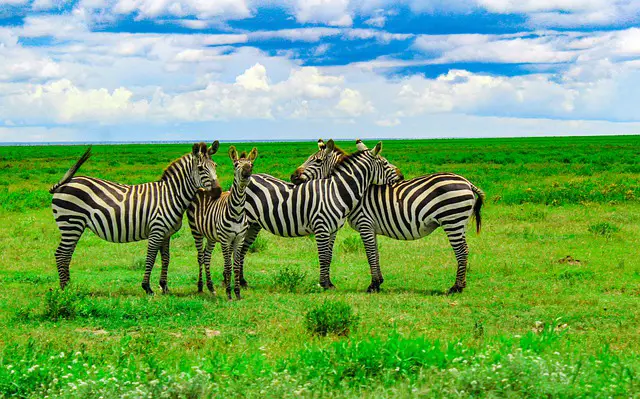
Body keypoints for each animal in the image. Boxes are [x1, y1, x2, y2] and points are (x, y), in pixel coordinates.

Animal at [50, 142, 221, 296]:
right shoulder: (156, 230)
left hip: (74, 226)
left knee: (67, 255)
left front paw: (164, 287)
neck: (171, 195)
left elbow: (166, 258)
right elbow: (151, 258)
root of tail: (65, 183)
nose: (218, 192)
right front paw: (147, 288)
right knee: (61, 254)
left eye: (215, 165)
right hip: (71, 223)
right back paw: (65, 290)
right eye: (201, 168)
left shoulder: (166, 233)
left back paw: (69, 286)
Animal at [188, 146, 258, 300]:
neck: (237, 211)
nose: (246, 174)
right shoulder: (225, 240)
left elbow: (236, 266)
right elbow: (227, 265)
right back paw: (200, 286)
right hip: (196, 231)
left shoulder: (239, 239)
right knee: (200, 257)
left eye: (251, 165)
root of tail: (202, 188)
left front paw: (237, 293)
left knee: (206, 256)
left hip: (211, 236)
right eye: (236, 165)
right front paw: (229, 293)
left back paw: (210, 287)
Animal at [229, 139, 400, 296]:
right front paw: (323, 284)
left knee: (242, 250)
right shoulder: (321, 228)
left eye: (317, 160)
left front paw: (329, 283)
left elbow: (329, 256)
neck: (336, 191)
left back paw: (242, 282)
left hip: (253, 225)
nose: (401, 175)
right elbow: (323, 256)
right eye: (385, 163)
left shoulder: (332, 230)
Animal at [292, 139, 484, 296]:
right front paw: (378, 283)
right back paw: (461, 285)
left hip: (452, 220)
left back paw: (456, 288)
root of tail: (467, 182)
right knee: (464, 250)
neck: (352, 190)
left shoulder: (365, 223)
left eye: (316, 161)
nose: (292, 176)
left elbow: (370, 254)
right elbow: (375, 253)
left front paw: (373, 285)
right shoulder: (371, 228)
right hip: (459, 222)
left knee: (461, 251)